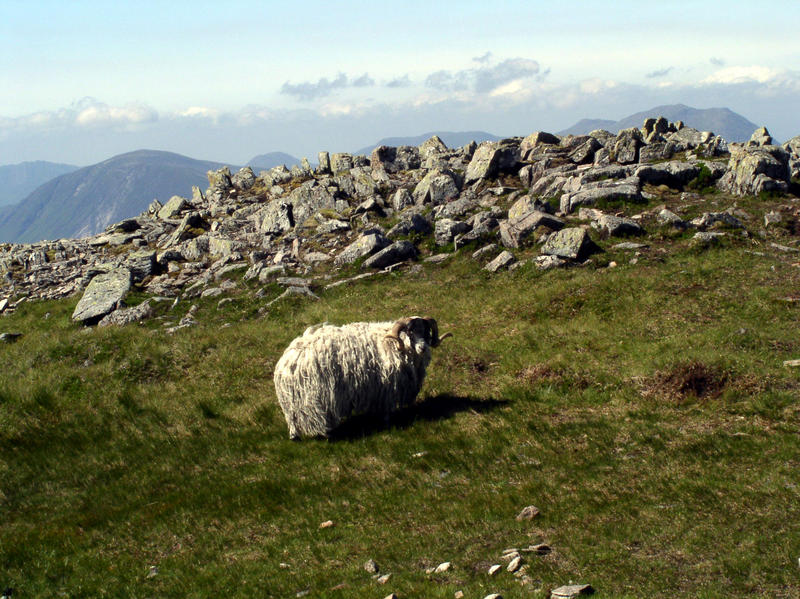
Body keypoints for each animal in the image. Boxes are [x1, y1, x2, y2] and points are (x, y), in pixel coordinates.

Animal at [274, 316, 450, 438]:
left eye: (426, 332)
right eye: (410, 332)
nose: (423, 348)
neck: (393, 343)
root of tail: (286, 362)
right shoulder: (387, 387)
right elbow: (386, 409)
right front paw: (387, 422)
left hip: (293, 403)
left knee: (292, 421)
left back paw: (294, 436)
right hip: (313, 398)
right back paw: (327, 434)